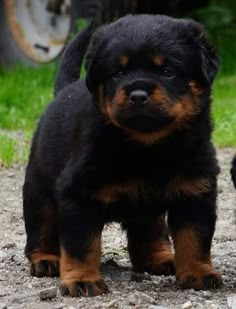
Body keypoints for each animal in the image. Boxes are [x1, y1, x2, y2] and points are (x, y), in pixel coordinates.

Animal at [23, 15, 222, 296]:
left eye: (167, 71)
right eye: (117, 72)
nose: (137, 94)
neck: (148, 147)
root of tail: (64, 90)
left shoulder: (196, 192)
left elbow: (195, 238)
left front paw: (198, 273)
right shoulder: (77, 193)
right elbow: (80, 244)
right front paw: (81, 280)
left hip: (150, 210)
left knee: (150, 231)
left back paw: (159, 259)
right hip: (38, 187)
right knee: (40, 225)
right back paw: (45, 260)